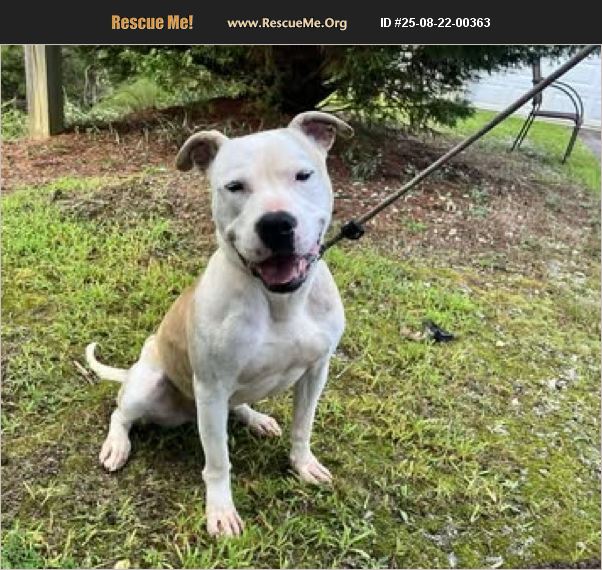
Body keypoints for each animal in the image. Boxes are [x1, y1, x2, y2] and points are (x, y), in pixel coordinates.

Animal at [86, 111, 352, 537]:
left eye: (303, 175)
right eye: (235, 186)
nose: (276, 223)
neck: (280, 300)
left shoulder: (316, 371)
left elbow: (303, 426)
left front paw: (303, 464)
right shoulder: (211, 388)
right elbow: (217, 461)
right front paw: (221, 510)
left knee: (238, 405)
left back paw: (257, 419)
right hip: (150, 383)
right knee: (121, 414)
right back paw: (117, 445)